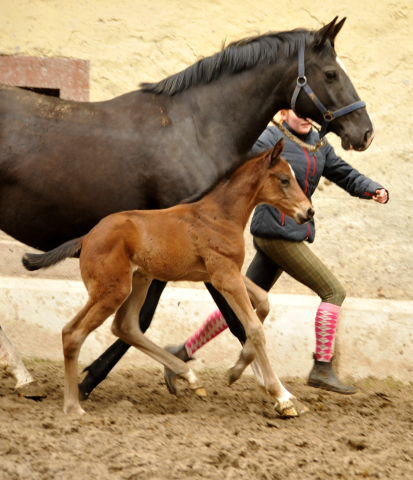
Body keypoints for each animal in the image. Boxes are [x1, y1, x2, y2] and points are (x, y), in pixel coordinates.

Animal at [22, 139, 312, 416]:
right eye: (284, 179)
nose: (309, 212)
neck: (220, 214)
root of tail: (86, 237)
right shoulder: (224, 275)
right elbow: (254, 327)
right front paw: (281, 396)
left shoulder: (223, 273)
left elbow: (263, 301)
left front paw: (238, 369)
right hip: (113, 290)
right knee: (74, 333)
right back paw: (73, 406)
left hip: (139, 280)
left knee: (124, 326)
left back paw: (189, 375)